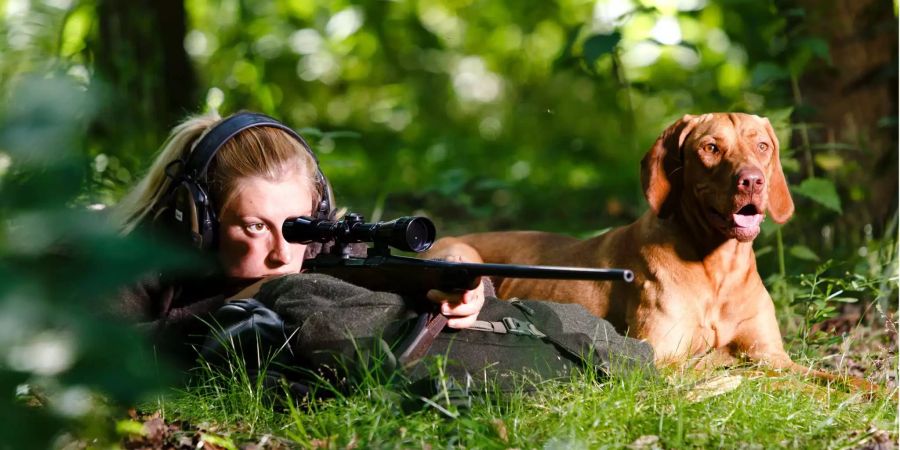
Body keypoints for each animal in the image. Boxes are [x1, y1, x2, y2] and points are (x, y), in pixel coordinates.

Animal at [432, 112, 876, 390]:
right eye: (711, 148)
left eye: (763, 146)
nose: (752, 181)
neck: (719, 268)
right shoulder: (663, 356)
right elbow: (752, 372)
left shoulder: (773, 354)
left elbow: (840, 379)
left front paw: (874, 395)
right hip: (462, 253)